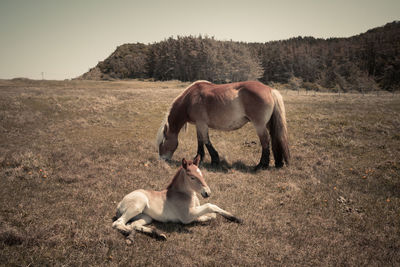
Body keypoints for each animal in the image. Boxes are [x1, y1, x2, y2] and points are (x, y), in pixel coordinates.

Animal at [111, 156, 241, 242]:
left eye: (201, 174)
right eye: (192, 177)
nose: (207, 193)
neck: (184, 194)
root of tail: (119, 204)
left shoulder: (195, 211)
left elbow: (212, 215)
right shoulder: (187, 215)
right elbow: (211, 206)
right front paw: (236, 218)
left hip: (146, 217)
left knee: (132, 224)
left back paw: (157, 234)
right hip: (138, 205)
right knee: (118, 223)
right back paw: (132, 236)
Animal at [156, 80, 290, 171]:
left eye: (162, 142)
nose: (162, 160)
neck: (190, 99)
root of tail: (270, 90)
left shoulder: (202, 124)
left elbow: (206, 141)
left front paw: (215, 160)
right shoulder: (199, 125)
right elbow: (200, 141)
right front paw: (199, 158)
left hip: (260, 125)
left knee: (265, 142)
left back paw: (262, 165)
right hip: (268, 124)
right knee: (275, 139)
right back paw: (278, 163)